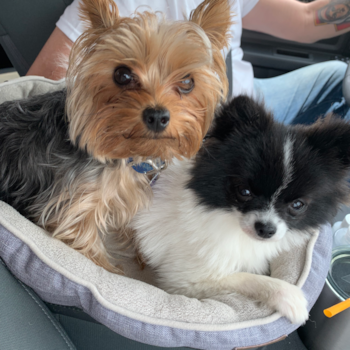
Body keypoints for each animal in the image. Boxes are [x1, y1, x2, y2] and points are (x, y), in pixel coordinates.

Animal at [132, 95, 350, 322]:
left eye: (297, 205)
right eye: (244, 192)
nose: (266, 229)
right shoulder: (186, 280)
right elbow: (244, 277)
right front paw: (289, 296)